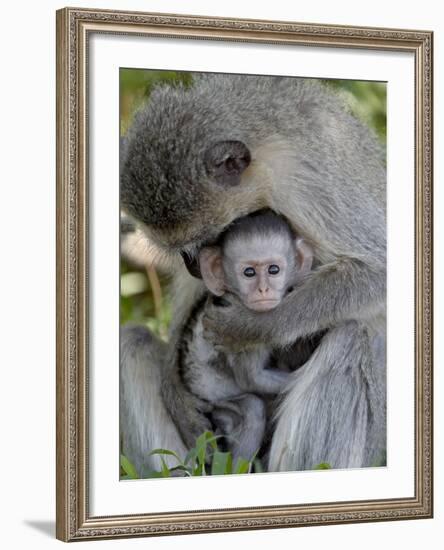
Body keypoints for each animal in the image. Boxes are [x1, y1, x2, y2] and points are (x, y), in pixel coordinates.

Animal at [176, 210, 312, 462]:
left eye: (273, 270)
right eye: (249, 273)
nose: (263, 290)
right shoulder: (242, 331)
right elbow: (252, 379)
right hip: (215, 402)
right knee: (252, 409)